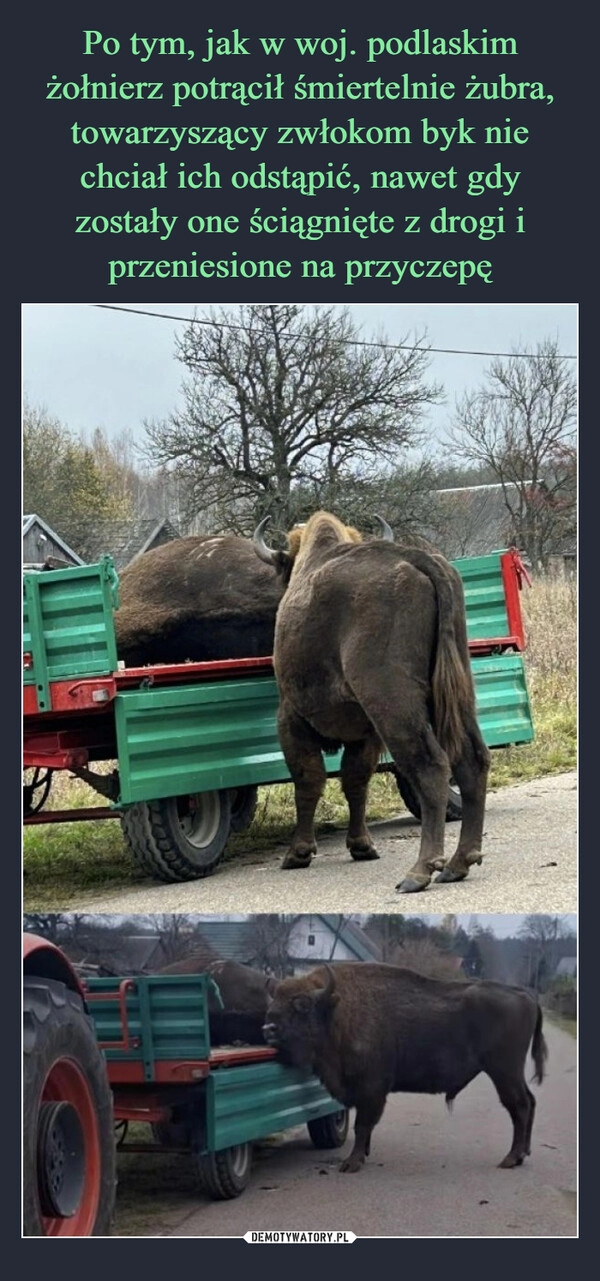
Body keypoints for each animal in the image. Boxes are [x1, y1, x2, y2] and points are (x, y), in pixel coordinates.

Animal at [252, 509, 492, 891]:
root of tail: (418, 560)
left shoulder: (291, 718)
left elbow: (309, 780)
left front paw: (298, 853)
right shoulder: (365, 734)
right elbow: (355, 781)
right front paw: (361, 846)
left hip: (393, 706)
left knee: (431, 766)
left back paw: (419, 872)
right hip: (457, 697)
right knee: (472, 761)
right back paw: (458, 864)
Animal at [264, 963, 548, 1173]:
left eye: (302, 1005)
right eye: (274, 1002)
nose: (269, 1029)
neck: (337, 1012)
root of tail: (526, 996)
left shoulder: (372, 1089)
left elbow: (362, 1125)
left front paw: (351, 1163)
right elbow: (365, 1127)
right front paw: (363, 1154)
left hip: (504, 1071)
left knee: (520, 1106)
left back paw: (510, 1159)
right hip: (511, 1073)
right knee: (530, 1102)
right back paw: (523, 1153)